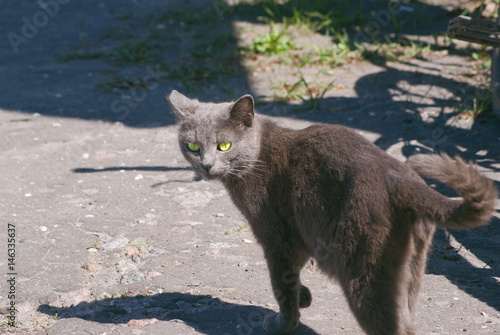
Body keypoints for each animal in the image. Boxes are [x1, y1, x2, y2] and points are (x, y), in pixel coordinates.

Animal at [167, 90, 496, 334]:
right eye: (193, 146)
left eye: (224, 145)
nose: (206, 165)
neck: (257, 155)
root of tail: (401, 180)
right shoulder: (302, 234)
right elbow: (292, 276)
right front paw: (305, 296)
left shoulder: (277, 237)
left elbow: (280, 284)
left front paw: (284, 321)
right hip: (413, 266)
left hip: (363, 268)